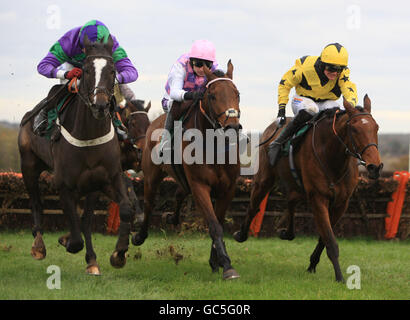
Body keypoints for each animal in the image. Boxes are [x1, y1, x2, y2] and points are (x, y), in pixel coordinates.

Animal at [18, 35, 135, 276]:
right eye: (87, 70)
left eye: (112, 70)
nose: (100, 105)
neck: (89, 136)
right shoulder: (64, 185)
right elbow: (75, 239)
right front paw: (66, 240)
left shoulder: (106, 179)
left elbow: (122, 210)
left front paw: (116, 255)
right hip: (28, 166)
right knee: (36, 203)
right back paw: (38, 245)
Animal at [133, 60, 242, 280]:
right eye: (212, 95)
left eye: (237, 94)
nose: (233, 128)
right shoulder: (200, 186)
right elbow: (214, 225)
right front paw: (227, 266)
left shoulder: (228, 188)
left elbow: (218, 221)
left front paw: (217, 261)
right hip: (151, 176)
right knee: (148, 204)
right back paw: (139, 236)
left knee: (179, 192)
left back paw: (171, 217)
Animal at [235, 96, 382, 282]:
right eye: (354, 129)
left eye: (376, 127)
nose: (375, 167)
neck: (333, 158)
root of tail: (273, 127)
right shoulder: (318, 198)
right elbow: (330, 240)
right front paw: (340, 277)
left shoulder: (341, 203)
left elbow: (324, 238)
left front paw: (312, 264)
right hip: (264, 179)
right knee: (254, 206)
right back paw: (241, 234)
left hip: (297, 187)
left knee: (291, 201)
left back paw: (286, 233)